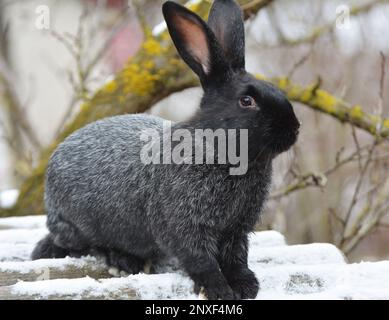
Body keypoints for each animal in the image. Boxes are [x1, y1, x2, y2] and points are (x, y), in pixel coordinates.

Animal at [32, 0, 300, 300]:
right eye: (246, 101)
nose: (294, 128)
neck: (216, 147)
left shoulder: (236, 230)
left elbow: (236, 258)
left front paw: (246, 285)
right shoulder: (184, 225)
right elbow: (201, 260)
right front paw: (219, 290)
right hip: (80, 225)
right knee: (83, 244)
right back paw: (120, 260)